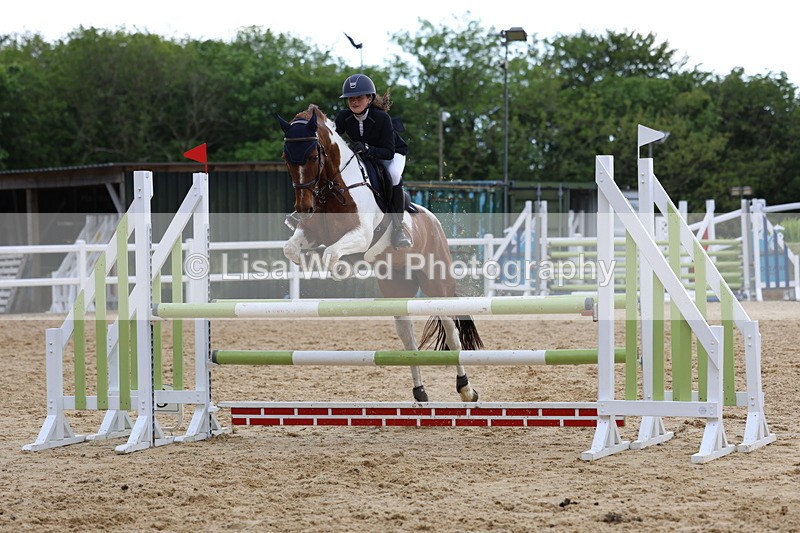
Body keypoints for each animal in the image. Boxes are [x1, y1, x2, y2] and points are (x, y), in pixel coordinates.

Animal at [276, 104, 481, 403]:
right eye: (286, 157)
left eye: (314, 155)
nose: (304, 208)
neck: (334, 187)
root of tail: (434, 222)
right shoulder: (312, 233)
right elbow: (292, 248)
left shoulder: (361, 236)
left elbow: (332, 255)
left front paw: (341, 269)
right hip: (397, 290)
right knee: (408, 338)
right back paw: (420, 391)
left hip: (437, 285)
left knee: (452, 333)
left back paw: (466, 389)